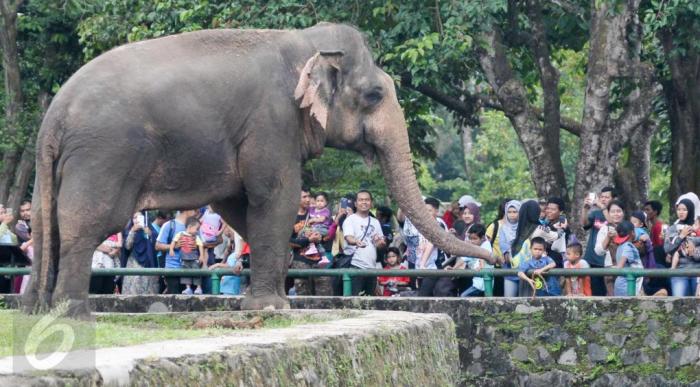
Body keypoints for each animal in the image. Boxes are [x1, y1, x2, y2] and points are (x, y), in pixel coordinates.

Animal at [23, 22, 492, 316]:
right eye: (375, 94)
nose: (495, 256)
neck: (305, 45)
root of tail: (55, 116)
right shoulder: (272, 119)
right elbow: (274, 195)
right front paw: (271, 307)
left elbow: (236, 203)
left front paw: (273, 290)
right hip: (106, 154)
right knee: (87, 223)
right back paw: (73, 314)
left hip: (57, 166)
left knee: (48, 223)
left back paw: (35, 310)